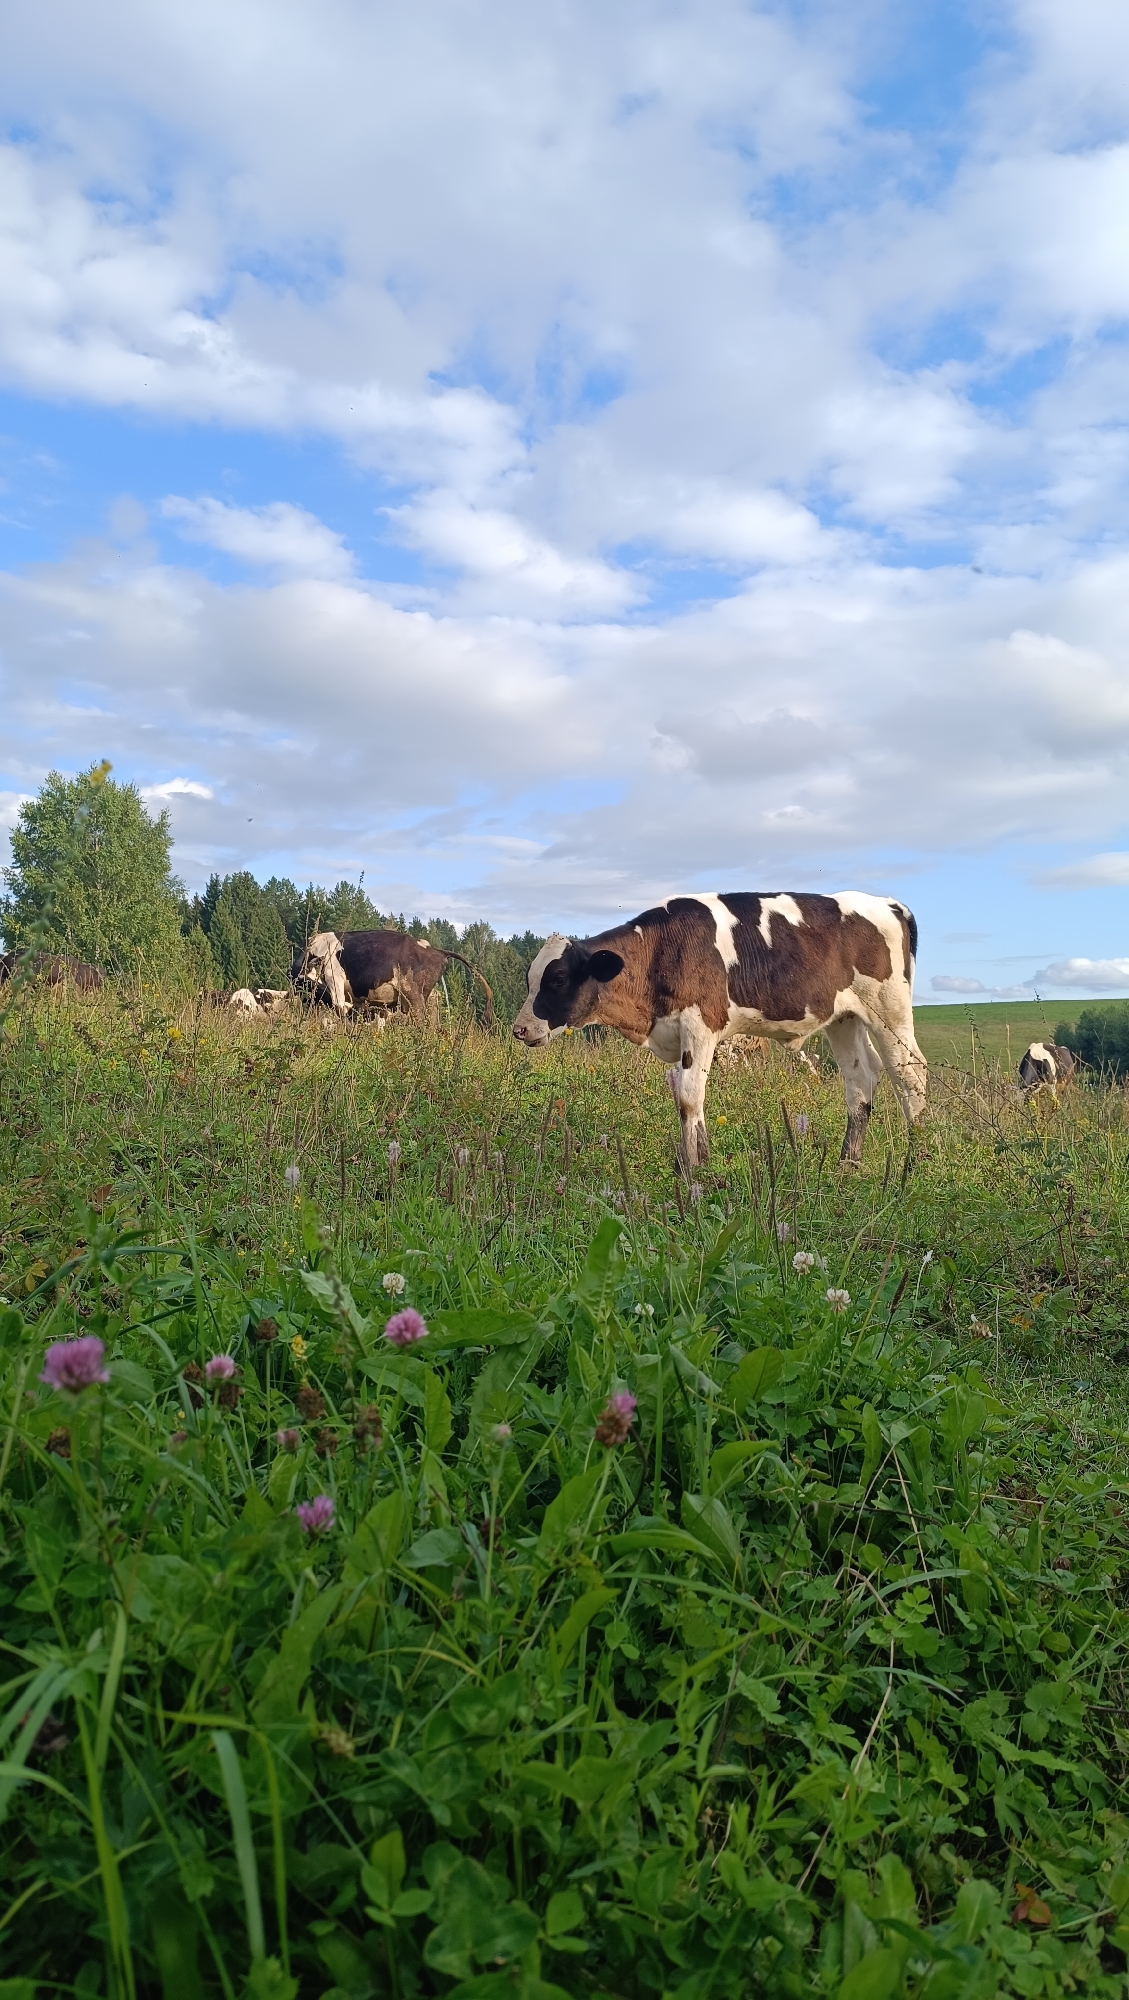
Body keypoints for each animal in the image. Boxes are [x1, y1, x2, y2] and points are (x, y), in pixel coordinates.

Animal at [512, 892, 927, 1169]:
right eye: (530, 978)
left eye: (559, 979)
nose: (520, 1029)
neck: (660, 950)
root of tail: (891, 904)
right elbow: (681, 1093)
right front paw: (694, 1161)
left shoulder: (701, 1025)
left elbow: (689, 1095)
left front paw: (696, 1168)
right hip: (845, 1018)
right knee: (861, 1081)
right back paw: (848, 1165)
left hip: (889, 1010)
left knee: (911, 1076)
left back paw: (917, 1159)